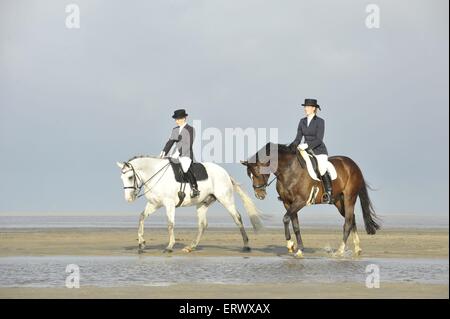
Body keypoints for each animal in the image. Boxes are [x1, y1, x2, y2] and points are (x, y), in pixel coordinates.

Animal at [241, 144, 382, 258]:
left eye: (258, 172)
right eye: (249, 175)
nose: (259, 194)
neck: (289, 171)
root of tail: (353, 165)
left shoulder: (300, 202)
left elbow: (285, 219)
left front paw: (290, 245)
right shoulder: (288, 203)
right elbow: (295, 225)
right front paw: (299, 250)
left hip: (349, 198)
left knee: (347, 222)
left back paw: (340, 251)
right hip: (339, 202)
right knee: (351, 218)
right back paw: (357, 249)